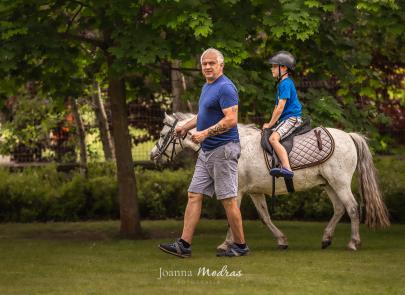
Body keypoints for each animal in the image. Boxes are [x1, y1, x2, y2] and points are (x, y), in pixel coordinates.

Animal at [149, 113, 388, 252]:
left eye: (162, 134)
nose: (152, 155)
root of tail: (349, 136)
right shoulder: (255, 192)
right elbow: (264, 217)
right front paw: (281, 240)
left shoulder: (237, 190)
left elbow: (232, 215)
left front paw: (227, 244)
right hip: (328, 184)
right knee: (339, 209)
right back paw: (326, 239)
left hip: (339, 183)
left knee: (353, 208)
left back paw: (353, 242)